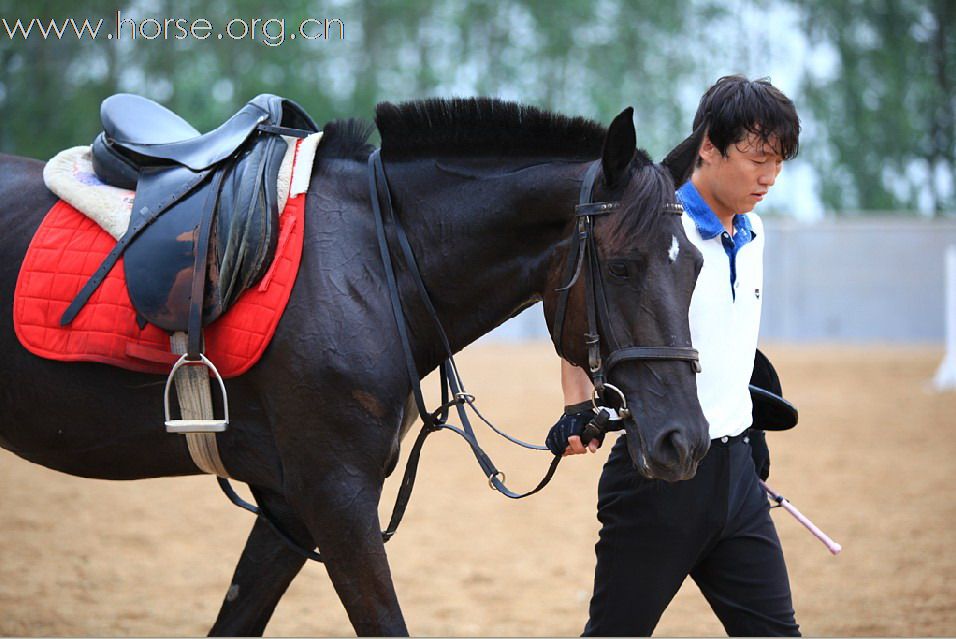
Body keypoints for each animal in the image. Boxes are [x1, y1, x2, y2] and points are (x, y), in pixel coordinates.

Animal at [0, 97, 708, 636]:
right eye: (623, 267)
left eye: (696, 265)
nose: (686, 440)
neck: (372, 262)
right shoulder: (335, 496)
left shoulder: (291, 503)